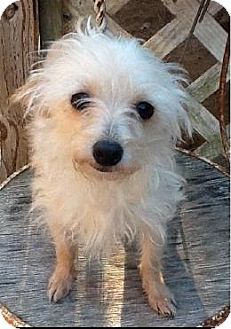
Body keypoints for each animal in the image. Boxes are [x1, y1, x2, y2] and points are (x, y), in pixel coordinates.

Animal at [14, 26, 191, 318]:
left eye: (145, 109)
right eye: (79, 99)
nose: (107, 152)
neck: (103, 183)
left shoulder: (152, 216)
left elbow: (151, 260)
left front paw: (158, 293)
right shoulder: (58, 210)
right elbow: (65, 250)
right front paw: (62, 278)